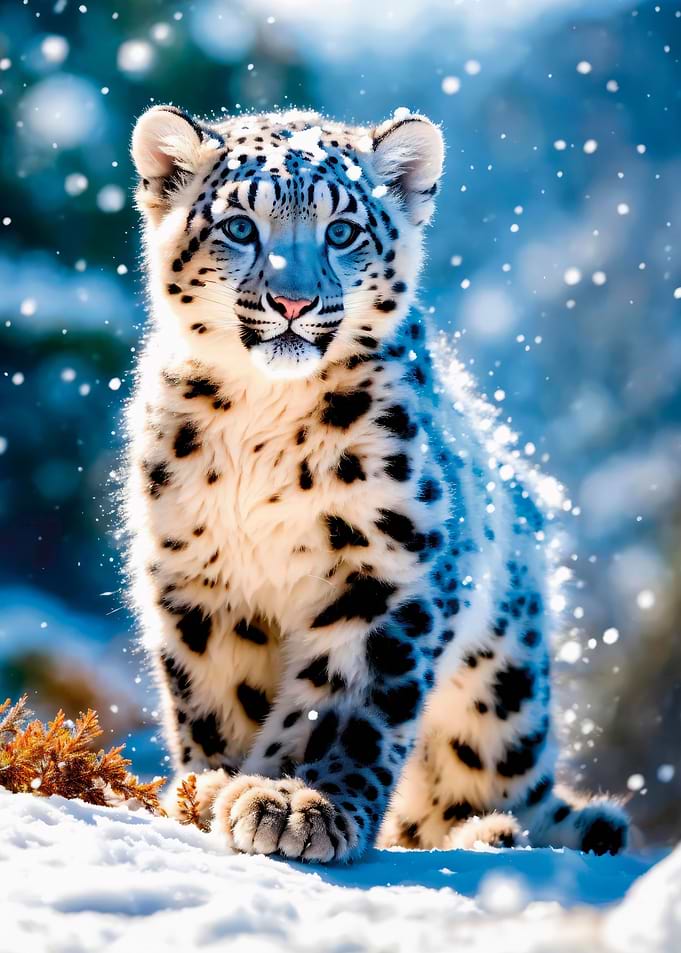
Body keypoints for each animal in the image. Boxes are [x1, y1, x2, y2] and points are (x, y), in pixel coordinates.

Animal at [125, 103, 629, 863]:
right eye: (240, 226)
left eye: (342, 231)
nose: (293, 302)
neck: (261, 419)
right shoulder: (198, 577)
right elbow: (218, 696)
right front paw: (210, 788)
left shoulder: (383, 566)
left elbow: (339, 701)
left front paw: (295, 802)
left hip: (499, 693)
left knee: (482, 782)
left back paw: (492, 831)